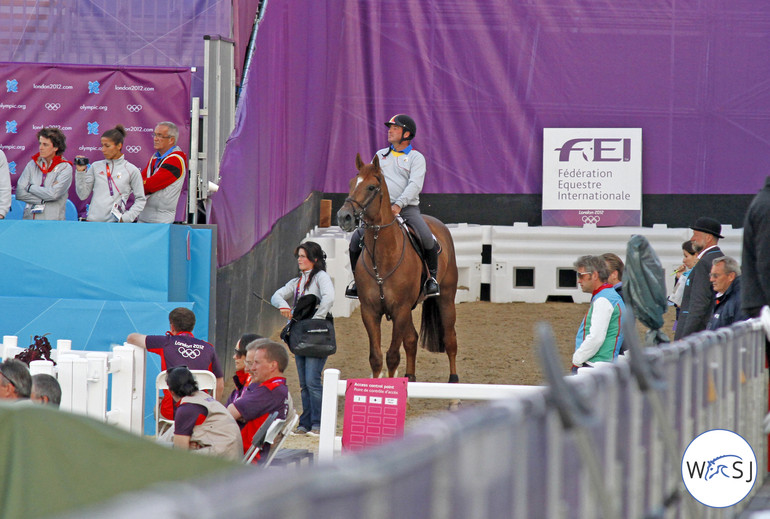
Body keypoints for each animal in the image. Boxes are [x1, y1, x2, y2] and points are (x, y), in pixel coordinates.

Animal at [334, 152, 456, 384]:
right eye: (352, 183)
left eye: (371, 187)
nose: (344, 217)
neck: (383, 258)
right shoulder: (370, 311)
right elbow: (376, 358)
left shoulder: (400, 310)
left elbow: (392, 357)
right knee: (411, 340)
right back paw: (410, 377)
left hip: (445, 298)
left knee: (450, 339)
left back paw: (454, 381)